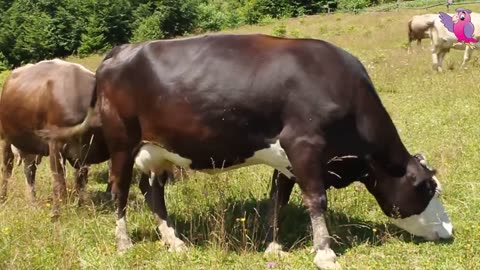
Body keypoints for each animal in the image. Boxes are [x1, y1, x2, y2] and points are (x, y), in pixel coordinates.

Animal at [0, 59, 109, 213]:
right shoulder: (55, 145)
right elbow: (59, 181)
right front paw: (59, 210)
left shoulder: (84, 152)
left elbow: (81, 180)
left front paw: (82, 206)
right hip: (6, 138)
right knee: (7, 169)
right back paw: (3, 199)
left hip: (29, 144)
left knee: (29, 170)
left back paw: (32, 203)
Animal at [38, 34, 454, 270]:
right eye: (427, 189)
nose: (449, 232)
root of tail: (121, 50)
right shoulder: (305, 145)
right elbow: (316, 200)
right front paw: (325, 254)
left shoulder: (287, 158)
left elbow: (277, 200)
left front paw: (275, 247)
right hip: (123, 141)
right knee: (119, 189)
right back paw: (124, 243)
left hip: (156, 150)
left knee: (151, 192)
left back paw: (174, 242)